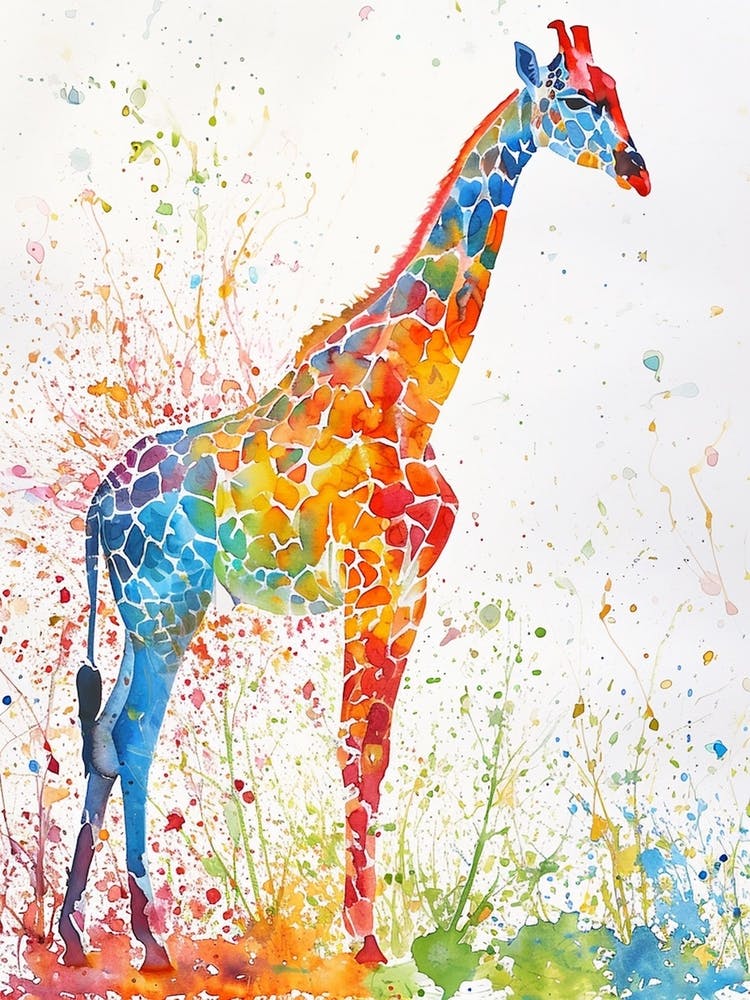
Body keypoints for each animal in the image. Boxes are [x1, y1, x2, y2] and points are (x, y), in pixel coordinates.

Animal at [60, 21, 650, 970]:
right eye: (574, 98)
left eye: (619, 91)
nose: (638, 167)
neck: (414, 394)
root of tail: (97, 505)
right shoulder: (371, 583)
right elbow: (349, 751)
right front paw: (366, 938)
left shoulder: (408, 590)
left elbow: (373, 756)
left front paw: (370, 932)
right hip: (167, 607)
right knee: (134, 741)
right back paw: (149, 939)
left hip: (138, 613)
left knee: (104, 738)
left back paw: (76, 928)